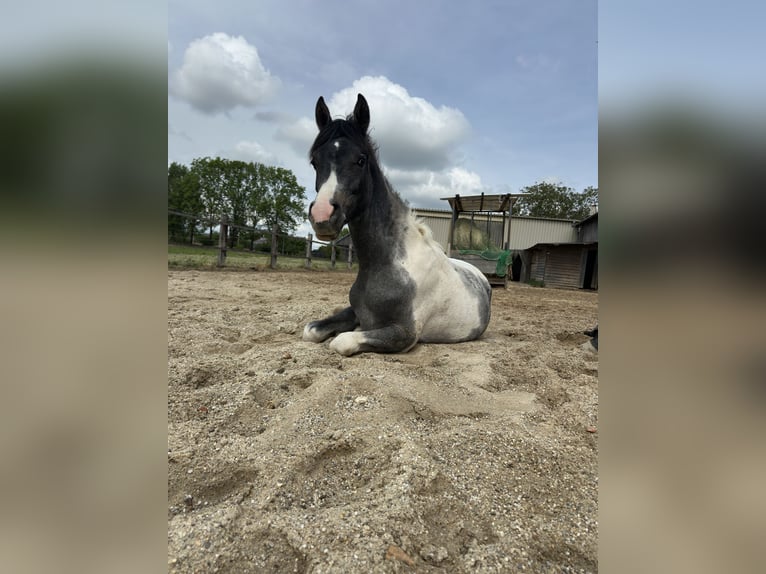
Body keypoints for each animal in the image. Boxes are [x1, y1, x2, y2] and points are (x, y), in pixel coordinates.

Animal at [303, 93, 492, 356]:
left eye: (360, 160)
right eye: (314, 162)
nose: (322, 216)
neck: (390, 265)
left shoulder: (405, 334)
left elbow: (342, 341)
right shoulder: (355, 312)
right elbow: (311, 330)